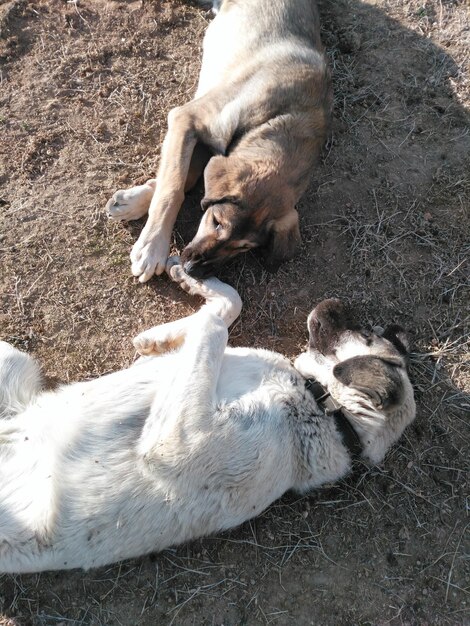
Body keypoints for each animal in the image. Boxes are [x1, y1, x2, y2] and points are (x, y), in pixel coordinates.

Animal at [0, 260, 414, 572]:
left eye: (364, 334)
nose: (334, 299)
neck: (318, 403)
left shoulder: (178, 442)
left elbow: (213, 323)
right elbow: (229, 305)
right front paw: (168, 319)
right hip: (16, 363)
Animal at [108, 0, 332, 278]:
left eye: (243, 247)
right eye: (216, 222)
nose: (192, 270)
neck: (280, 115)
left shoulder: (206, 141)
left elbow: (185, 178)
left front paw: (134, 201)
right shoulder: (187, 119)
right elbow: (172, 189)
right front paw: (152, 247)